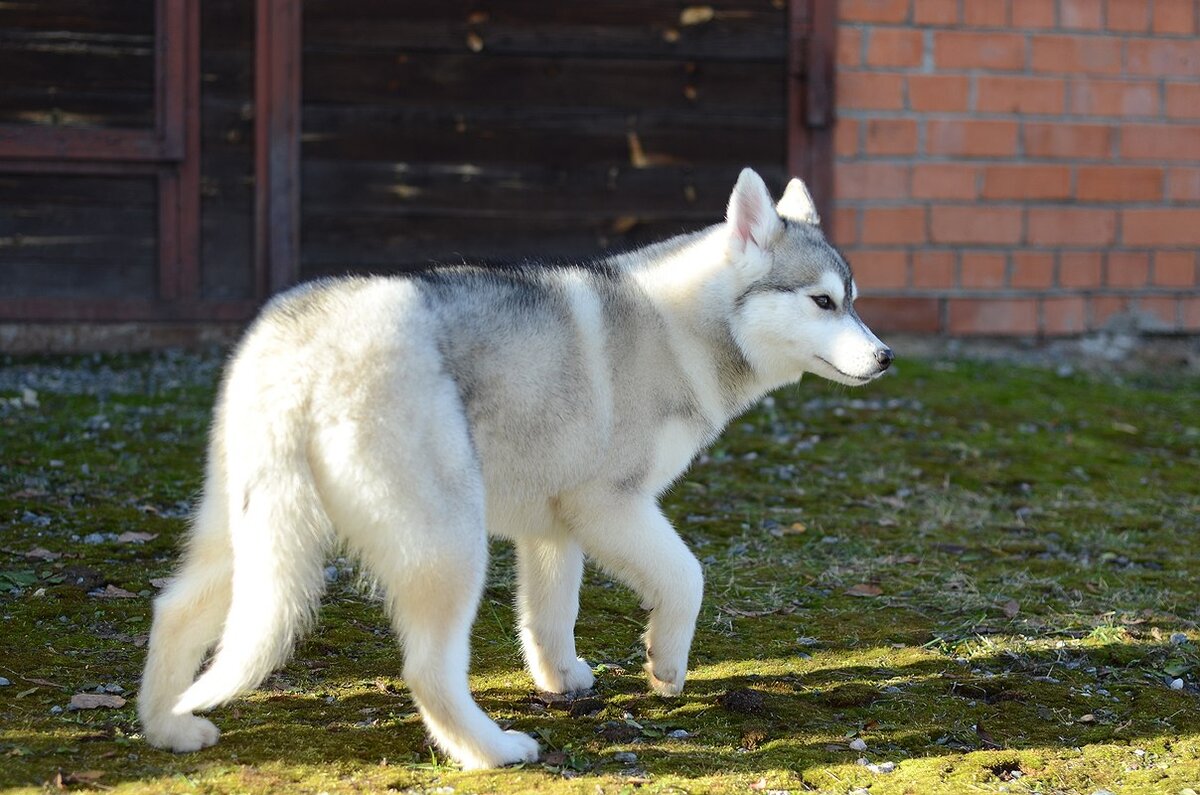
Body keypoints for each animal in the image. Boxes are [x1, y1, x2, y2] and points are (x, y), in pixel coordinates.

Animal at [138, 168, 892, 773]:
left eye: (855, 298)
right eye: (822, 301)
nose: (885, 357)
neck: (680, 329)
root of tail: (305, 344)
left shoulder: (552, 526)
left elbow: (550, 615)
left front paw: (561, 678)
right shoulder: (609, 504)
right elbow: (687, 576)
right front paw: (666, 663)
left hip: (248, 531)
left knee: (174, 607)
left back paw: (167, 725)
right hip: (447, 544)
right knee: (429, 670)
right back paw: (491, 749)